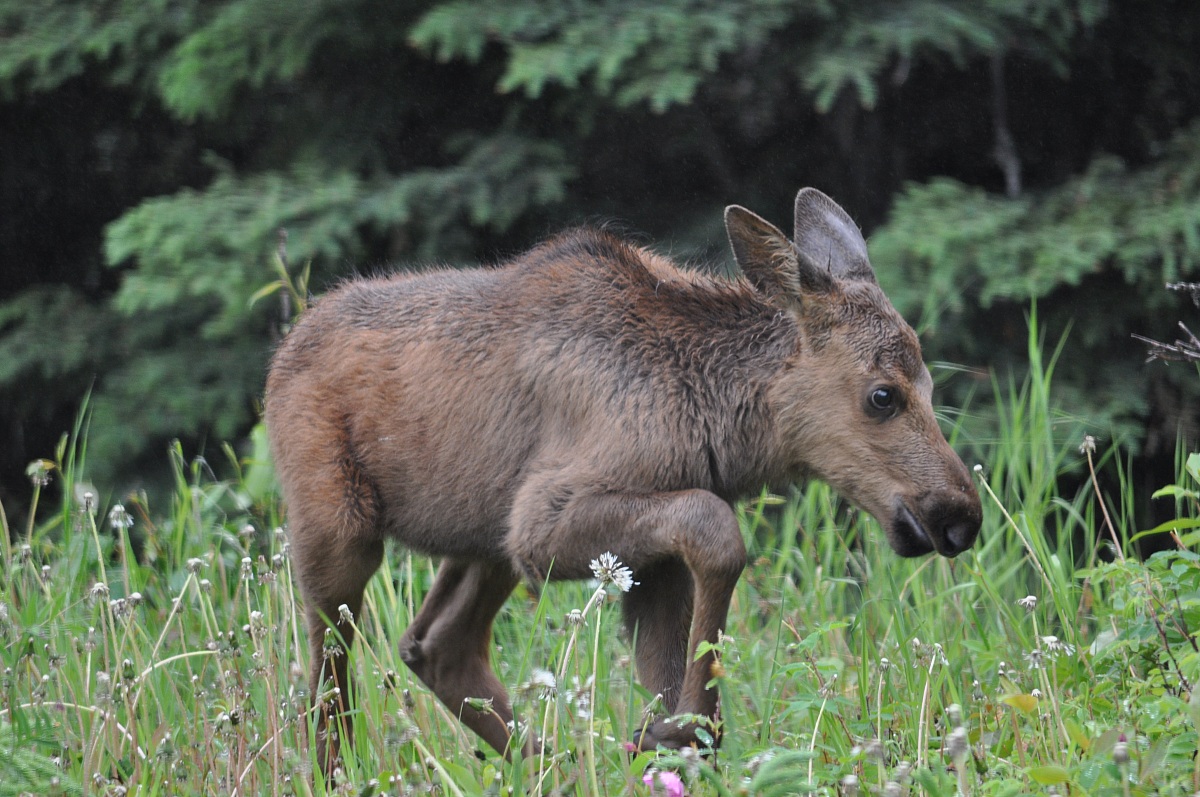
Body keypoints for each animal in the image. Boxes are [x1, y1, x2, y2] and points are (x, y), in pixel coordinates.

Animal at [264, 187, 982, 771]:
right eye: (883, 395)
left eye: (930, 384)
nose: (960, 515)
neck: (712, 413)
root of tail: (283, 351)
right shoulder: (544, 518)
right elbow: (718, 532)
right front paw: (691, 728)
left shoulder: (637, 553)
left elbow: (669, 648)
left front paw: (676, 738)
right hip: (342, 529)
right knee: (328, 673)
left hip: (481, 539)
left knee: (435, 643)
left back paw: (558, 765)